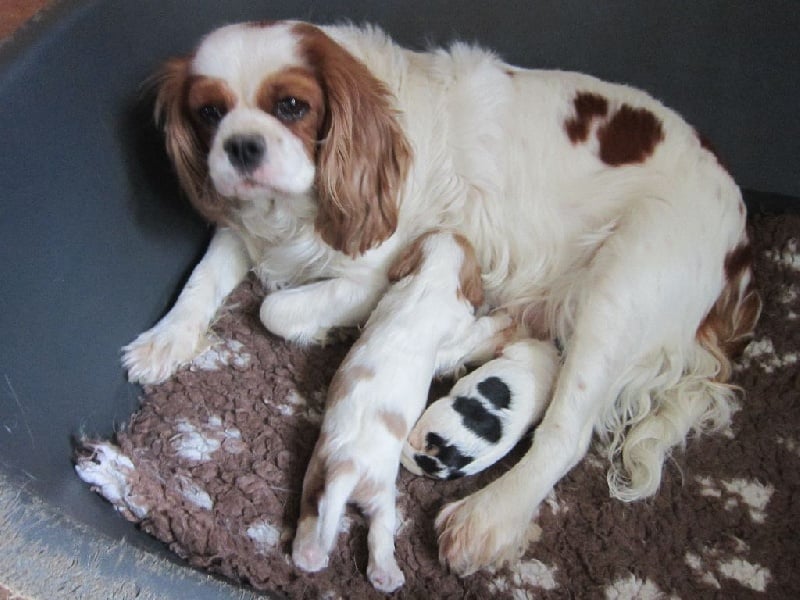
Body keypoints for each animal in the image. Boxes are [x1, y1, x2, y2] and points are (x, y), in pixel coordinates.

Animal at [292, 230, 506, 592]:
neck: (431, 276)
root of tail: (346, 466)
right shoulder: (456, 335)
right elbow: (472, 332)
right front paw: (496, 316)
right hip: (381, 495)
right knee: (379, 535)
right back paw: (387, 574)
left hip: (315, 476)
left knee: (310, 515)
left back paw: (308, 557)